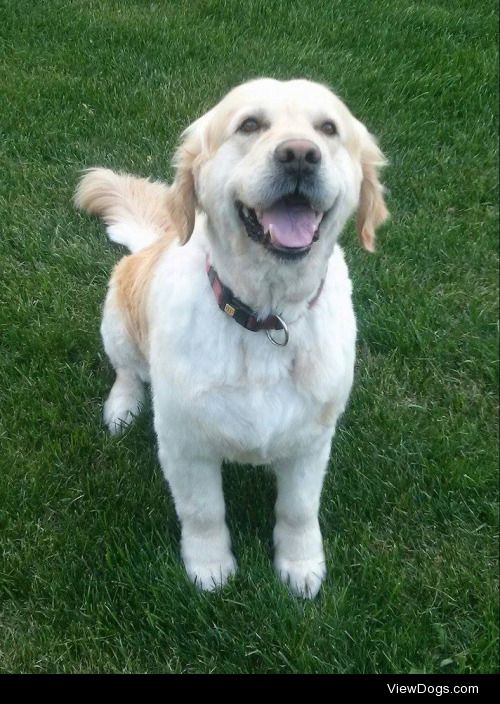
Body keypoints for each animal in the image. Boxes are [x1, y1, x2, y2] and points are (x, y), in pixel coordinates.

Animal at [74, 77, 388, 596]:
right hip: (115, 316)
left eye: (327, 129)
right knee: (127, 371)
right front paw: (209, 567)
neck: (267, 319)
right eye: (250, 125)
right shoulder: (185, 442)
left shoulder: (311, 440)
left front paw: (301, 566)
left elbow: (298, 509)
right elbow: (203, 511)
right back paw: (121, 408)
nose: (299, 155)